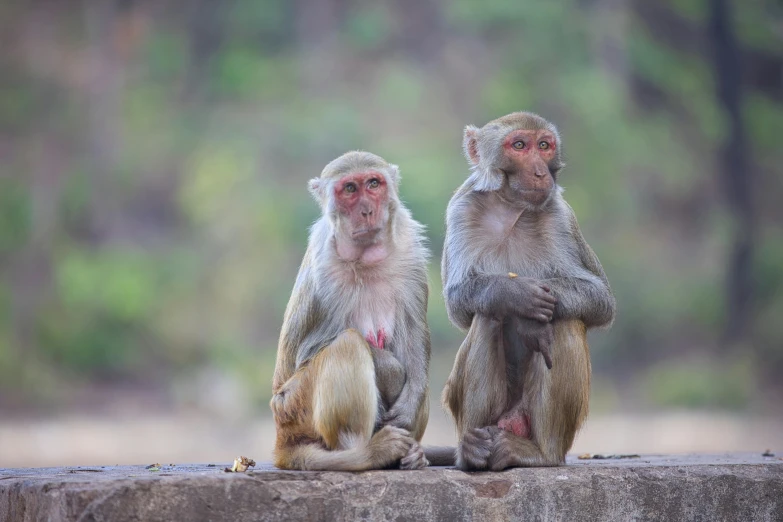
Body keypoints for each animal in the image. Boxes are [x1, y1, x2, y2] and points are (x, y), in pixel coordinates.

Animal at [270, 149, 428, 468]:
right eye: (350, 189)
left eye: (373, 184)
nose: (367, 210)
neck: (364, 257)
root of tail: (282, 439)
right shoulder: (324, 274)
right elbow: (309, 352)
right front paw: (391, 371)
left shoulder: (411, 251)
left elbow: (414, 332)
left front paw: (411, 396)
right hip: (293, 407)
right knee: (348, 344)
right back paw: (365, 453)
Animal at [432, 111, 616, 470]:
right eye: (519, 146)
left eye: (544, 146)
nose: (540, 172)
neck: (510, 208)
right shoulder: (460, 209)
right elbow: (459, 301)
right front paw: (516, 296)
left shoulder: (561, 217)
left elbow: (599, 299)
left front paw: (526, 318)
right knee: (487, 314)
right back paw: (473, 452)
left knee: (564, 320)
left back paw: (540, 454)